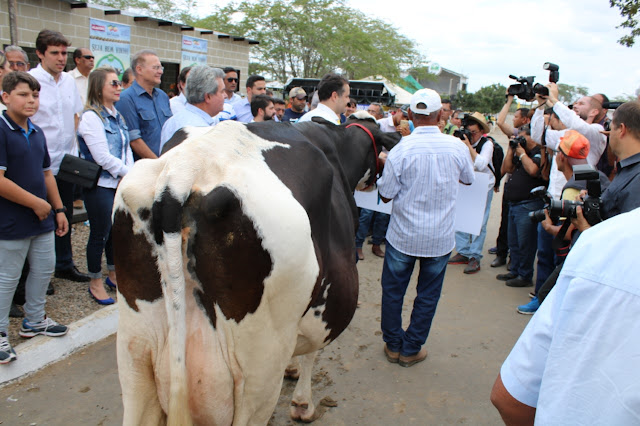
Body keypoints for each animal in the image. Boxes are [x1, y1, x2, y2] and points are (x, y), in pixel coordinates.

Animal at [112, 114, 398, 426]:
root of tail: (182, 172)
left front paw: (292, 370)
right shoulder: (322, 304)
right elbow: (312, 352)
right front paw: (302, 403)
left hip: (137, 354)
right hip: (257, 368)